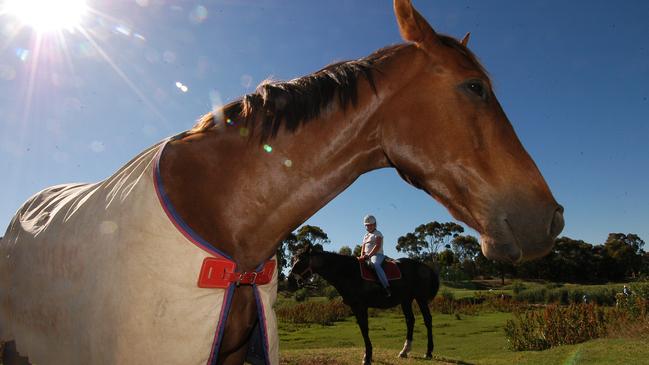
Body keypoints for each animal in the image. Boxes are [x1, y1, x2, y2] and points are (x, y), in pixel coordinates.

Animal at [290, 246, 438, 362]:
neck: (348, 272)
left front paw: (367, 357)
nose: (291, 280)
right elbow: (363, 329)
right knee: (410, 320)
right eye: (294, 259)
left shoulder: (360, 306)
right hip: (406, 300)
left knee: (427, 320)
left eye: (301, 260)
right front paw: (368, 355)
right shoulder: (356, 308)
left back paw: (428, 352)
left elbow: (364, 329)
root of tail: (425, 267)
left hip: (420, 299)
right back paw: (404, 351)